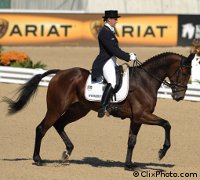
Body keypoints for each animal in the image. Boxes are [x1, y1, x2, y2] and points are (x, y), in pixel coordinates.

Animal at [2, 51, 195, 169]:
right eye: (185, 73)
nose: (179, 97)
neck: (145, 81)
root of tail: (60, 72)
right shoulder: (142, 115)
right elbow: (167, 124)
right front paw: (162, 152)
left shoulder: (136, 118)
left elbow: (132, 141)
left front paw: (128, 165)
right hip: (56, 108)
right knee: (42, 128)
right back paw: (38, 159)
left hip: (78, 110)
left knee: (59, 125)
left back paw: (67, 151)